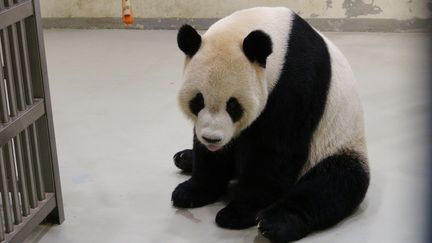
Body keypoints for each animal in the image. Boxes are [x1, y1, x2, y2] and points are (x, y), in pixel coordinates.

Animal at [170, 6, 370, 243]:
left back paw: (275, 223)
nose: (212, 138)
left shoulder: (295, 83)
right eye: (198, 101)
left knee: (332, 184)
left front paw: (237, 213)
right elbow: (210, 155)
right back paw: (184, 157)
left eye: (233, 106)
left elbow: (275, 153)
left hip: (337, 145)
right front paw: (190, 192)